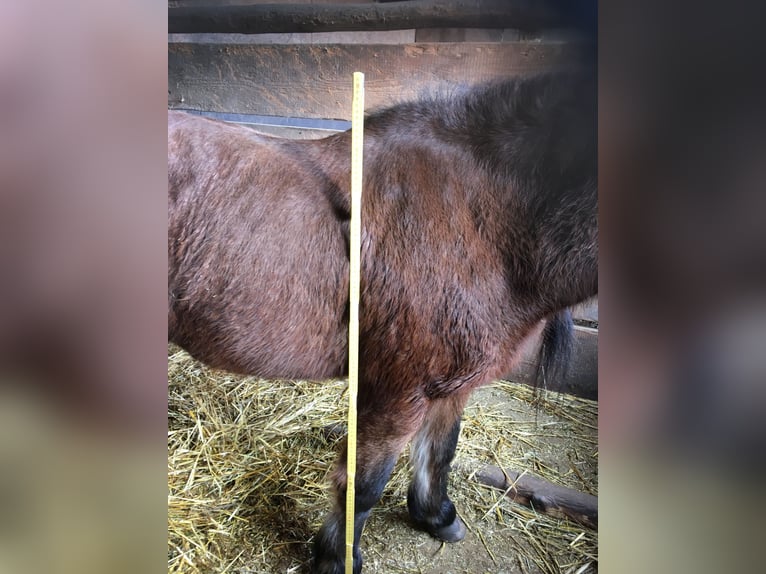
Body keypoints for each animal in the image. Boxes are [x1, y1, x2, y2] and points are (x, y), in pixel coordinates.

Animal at [168, 72, 600, 574]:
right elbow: (364, 484)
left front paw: (436, 516)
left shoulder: (453, 384)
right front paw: (336, 558)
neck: (476, 219)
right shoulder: (395, 393)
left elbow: (440, 452)